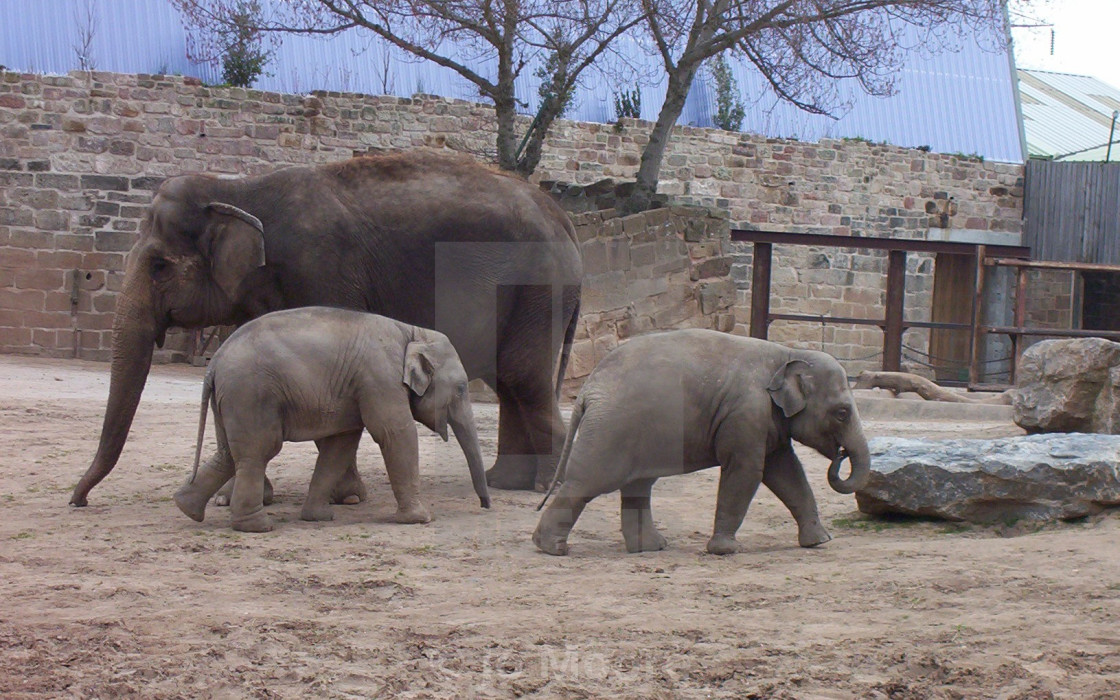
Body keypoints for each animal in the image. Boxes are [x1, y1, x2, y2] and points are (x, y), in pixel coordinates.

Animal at [70, 150, 582, 504]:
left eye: (158, 266)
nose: (78, 500)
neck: (237, 189)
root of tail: (562, 215)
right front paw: (237, 498)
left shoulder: (320, 269)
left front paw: (344, 497)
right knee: (510, 382)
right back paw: (509, 483)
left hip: (539, 287)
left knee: (522, 377)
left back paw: (547, 489)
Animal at [174, 304, 490, 528]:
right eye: (462, 388)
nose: (486, 506)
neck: (413, 333)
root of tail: (214, 361)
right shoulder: (380, 378)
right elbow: (395, 433)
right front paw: (420, 519)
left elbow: (341, 445)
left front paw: (319, 517)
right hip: (251, 393)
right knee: (258, 451)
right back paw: (256, 526)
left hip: (232, 399)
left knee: (230, 452)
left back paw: (186, 508)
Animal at [528, 329, 869, 557]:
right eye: (842, 413)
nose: (840, 455)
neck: (786, 354)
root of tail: (589, 390)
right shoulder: (745, 414)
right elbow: (747, 472)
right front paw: (725, 550)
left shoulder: (767, 421)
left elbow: (786, 472)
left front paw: (820, 541)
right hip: (610, 431)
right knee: (587, 482)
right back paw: (552, 549)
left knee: (637, 487)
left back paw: (652, 548)